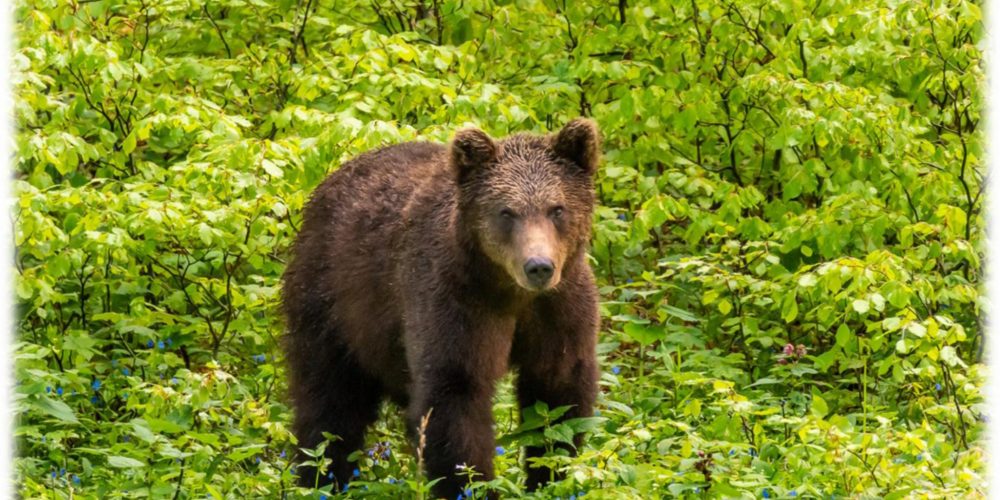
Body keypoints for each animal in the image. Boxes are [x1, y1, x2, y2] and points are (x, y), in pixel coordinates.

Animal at [282, 117, 600, 496]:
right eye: (506, 212)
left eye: (557, 209)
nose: (538, 266)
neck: (509, 292)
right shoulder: (455, 300)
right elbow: (454, 395)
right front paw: (472, 486)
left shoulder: (559, 308)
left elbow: (558, 395)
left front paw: (548, 476)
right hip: (333, 301)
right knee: (330, 403)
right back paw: (322, 479)